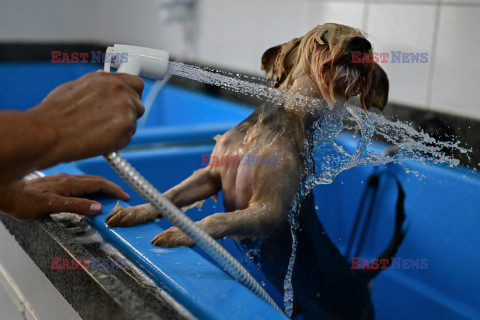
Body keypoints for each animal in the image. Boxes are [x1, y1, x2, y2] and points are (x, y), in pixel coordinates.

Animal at [106, 23, 404, 318]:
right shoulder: (211, 176)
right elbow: (169, 195)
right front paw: (135, 211)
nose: (360, 45)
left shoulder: (270, 209)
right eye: (323, 36)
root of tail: (358, 278)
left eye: (365, 39)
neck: (274, 127)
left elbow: (218, 219)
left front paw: (182, 233)